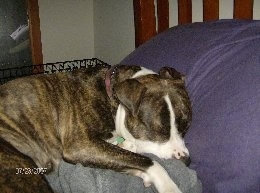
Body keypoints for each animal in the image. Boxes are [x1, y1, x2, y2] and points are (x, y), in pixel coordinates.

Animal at [0, 65, 191, 193]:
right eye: (158, 131)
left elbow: (126, 156)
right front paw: (168, 186)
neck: (109, 96)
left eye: (186, 128)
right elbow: (148, 161)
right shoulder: (80, 145)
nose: (186, 161)